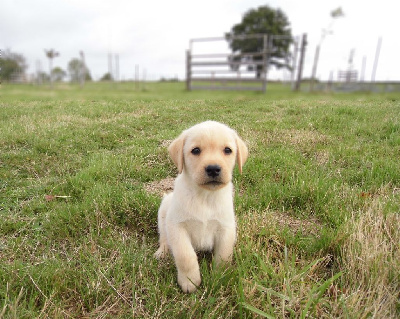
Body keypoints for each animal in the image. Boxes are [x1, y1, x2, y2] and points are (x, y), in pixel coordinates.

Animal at [155, 121, 247, 294]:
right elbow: (185, 256)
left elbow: (224, 256)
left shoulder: (226, 228)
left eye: (227, 150)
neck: (204, 196)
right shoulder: (177, 226)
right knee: (163, 237)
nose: (213, 169)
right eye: (196, 150)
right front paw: (189, 281)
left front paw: (219, 277)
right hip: (164, 211)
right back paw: (162, 252)